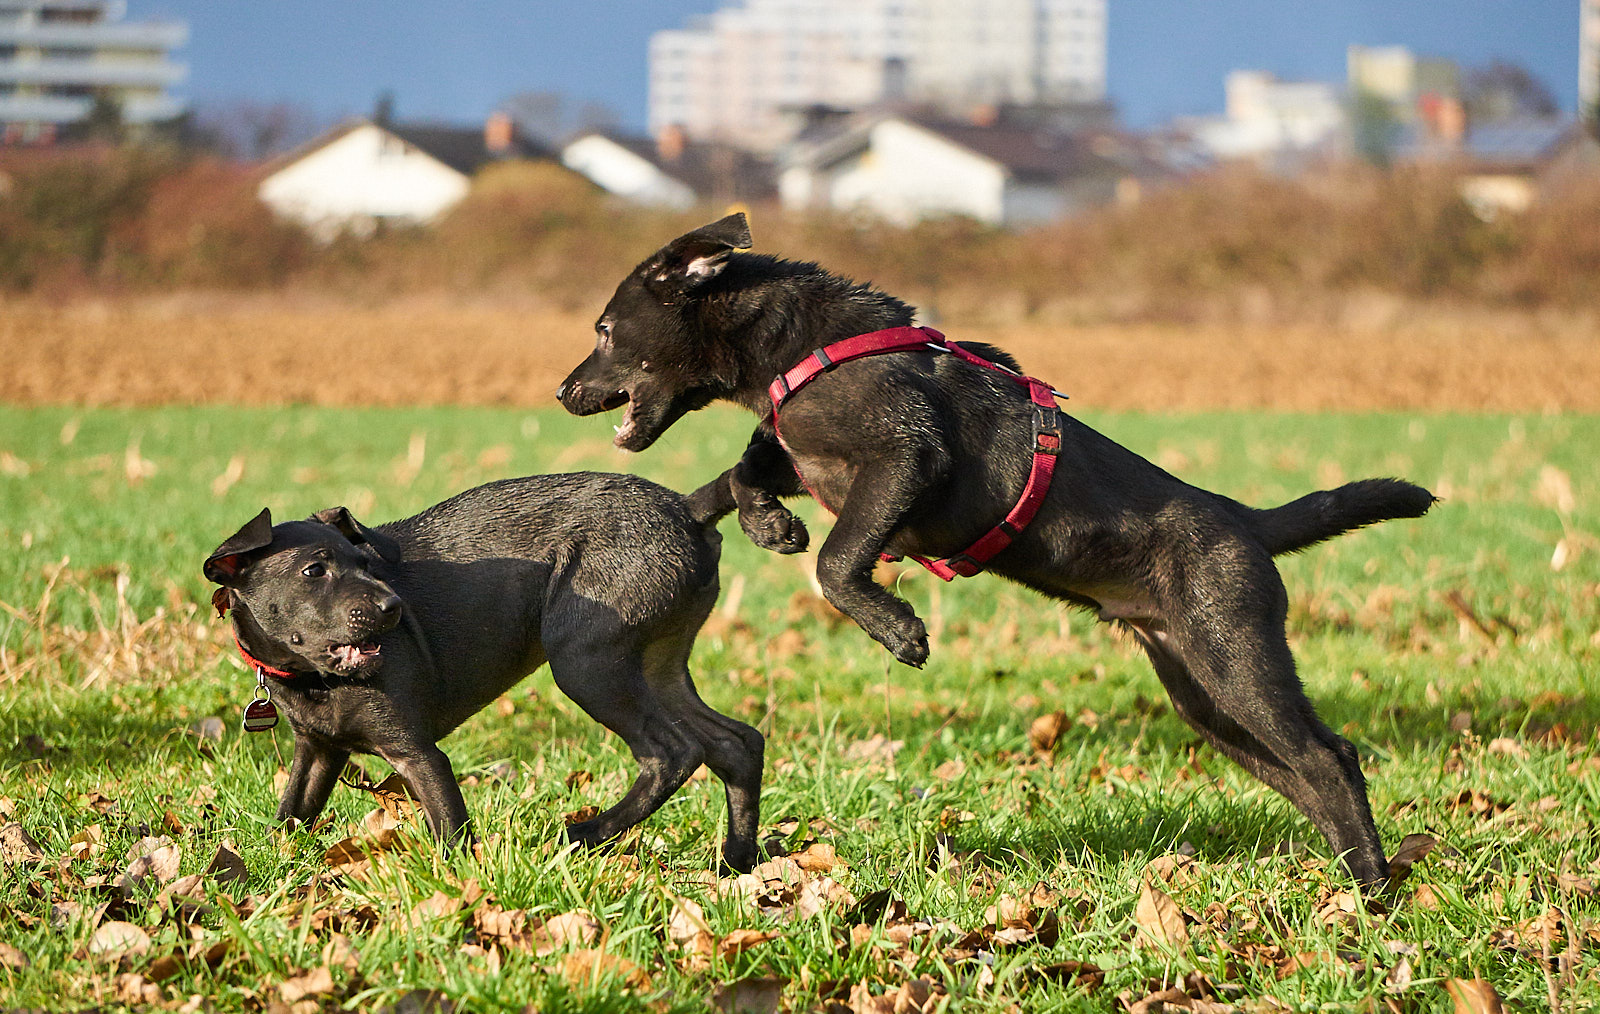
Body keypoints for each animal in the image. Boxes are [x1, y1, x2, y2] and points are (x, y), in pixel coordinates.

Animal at [563, 212, 1440, 882]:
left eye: (604, 330)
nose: (563, 391)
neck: (793, 353)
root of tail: (1248, 522)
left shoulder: (906, 457)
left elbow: (836, 561)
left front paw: (897, 628)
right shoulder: (806, 455)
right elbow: (744, 469)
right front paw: (769, 524)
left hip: (1236, 657)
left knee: (1331, 758)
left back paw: (1372, 891)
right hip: (1202, 696)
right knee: (1303, 774)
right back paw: (1353, 874)